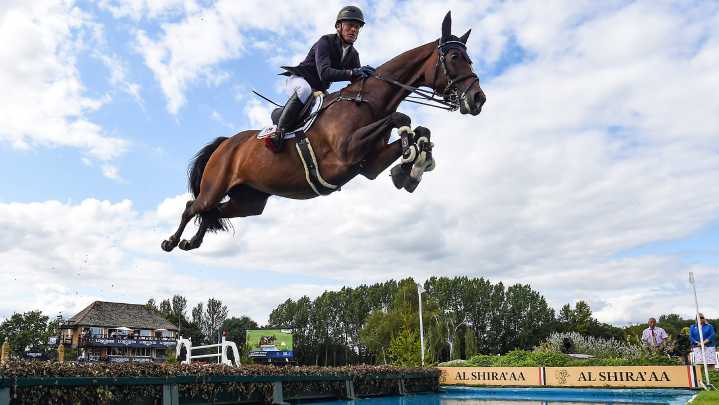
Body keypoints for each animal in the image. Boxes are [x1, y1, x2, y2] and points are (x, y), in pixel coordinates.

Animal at [161, 11, 486, 252]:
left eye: (468, 58)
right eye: (454, 58)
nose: (478, 99)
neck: (368, 102)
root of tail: (226, 143)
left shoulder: (368, 165)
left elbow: (420, 129)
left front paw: (413, 166)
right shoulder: (346, 153)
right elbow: (401, 116)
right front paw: (410, 159)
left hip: (250, 201)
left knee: (213, 211)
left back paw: (192, 242)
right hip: (216, 185)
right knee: (194, 206)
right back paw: (172, 241)